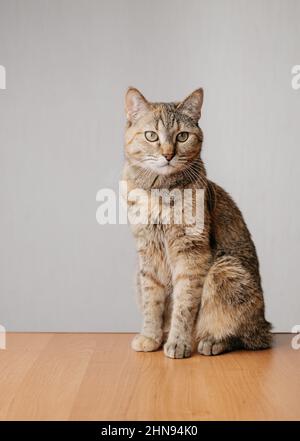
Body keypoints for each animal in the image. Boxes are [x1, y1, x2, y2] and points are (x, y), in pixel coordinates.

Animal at [122, 87, 272, 358]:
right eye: (151, 136)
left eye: (182, 136)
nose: (168, 155)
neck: (160, 191)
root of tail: (264, 325)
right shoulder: (147, 252)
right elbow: (152, 301)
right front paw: (150, 337)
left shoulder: (191, 253)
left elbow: (184, 304)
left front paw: (178, 343)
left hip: (226, 269)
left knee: (245, 337)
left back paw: (212, 342)